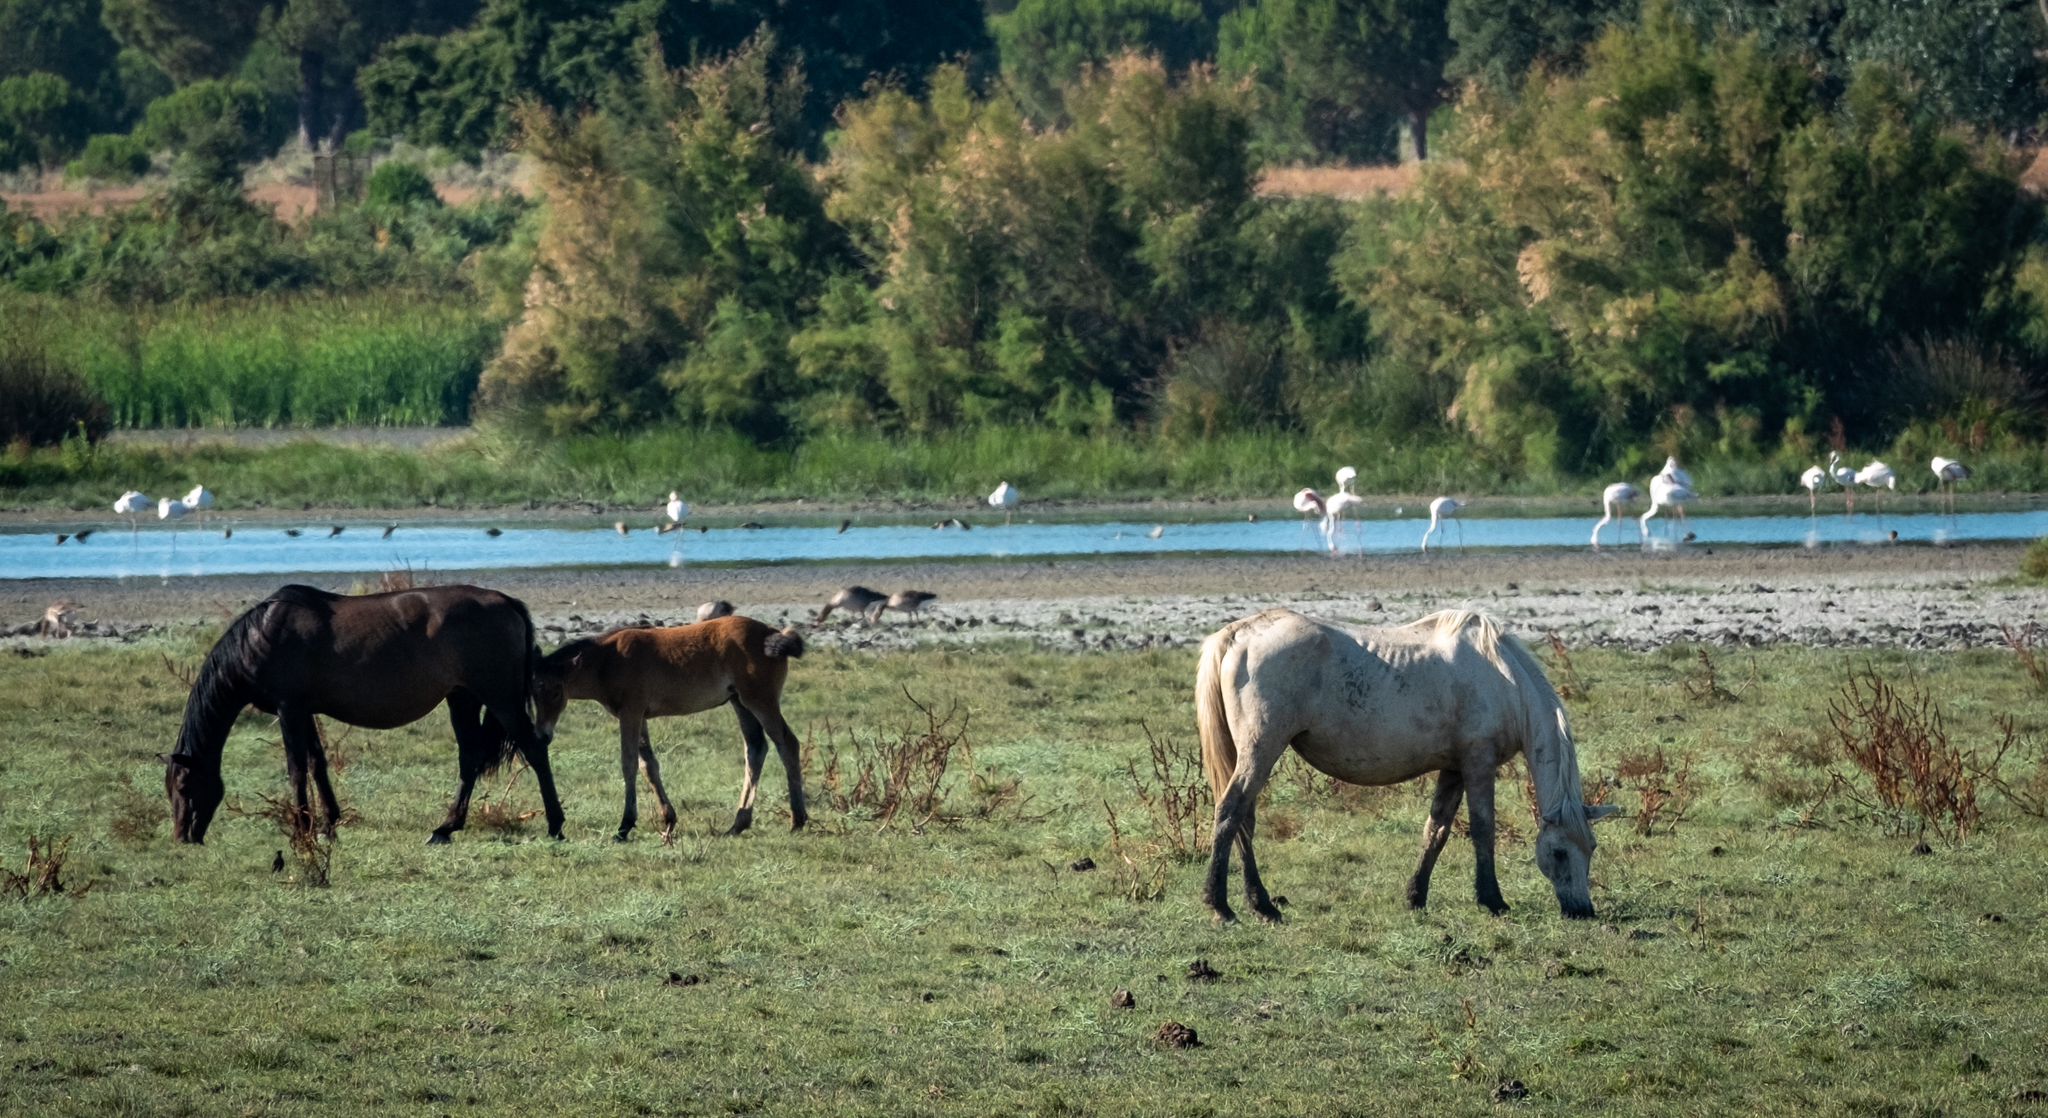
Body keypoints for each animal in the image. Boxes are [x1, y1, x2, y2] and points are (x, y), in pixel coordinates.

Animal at [161, 584, 565, 846]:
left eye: (183, 785)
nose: (183, 838)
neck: (262, 634)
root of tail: (507, 602)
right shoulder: (304, 710)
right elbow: (317, 763)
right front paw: (329, 824)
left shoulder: (289, 709)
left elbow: (296, 768)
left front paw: (303, 827)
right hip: (463, 699)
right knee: (471, 758)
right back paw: (446, 827)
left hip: (500, 699)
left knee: (534, 750)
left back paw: (555, 825)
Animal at [532, 615, 809, 842]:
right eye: (533, 692)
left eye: (557, 691)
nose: (543, 735)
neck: (609, 660)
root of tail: (773, 633)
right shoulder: (639, 716)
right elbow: (649, 766)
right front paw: (668, 821)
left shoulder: (630, 712)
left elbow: (629, 763)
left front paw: (624, 826)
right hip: (740, 702)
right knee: (755, 748)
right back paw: (737, 825)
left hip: (760, 700)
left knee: (787, 743)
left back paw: (798, 820)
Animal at [1194, 607, 1618, 924]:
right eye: (1559, 852)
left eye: (1592, 846)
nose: (1581, 910)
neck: (1503, 678)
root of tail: (1238, 634)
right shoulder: (1478, 764)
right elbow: (1483, 829)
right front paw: (1493, 900)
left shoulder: (1454, 770)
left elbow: (1437, 831)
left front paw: (1416, 897)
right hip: (1260, 751)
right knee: (1230, 812)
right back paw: (1225, 906)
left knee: (1244, 822)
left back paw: (1259, 904)